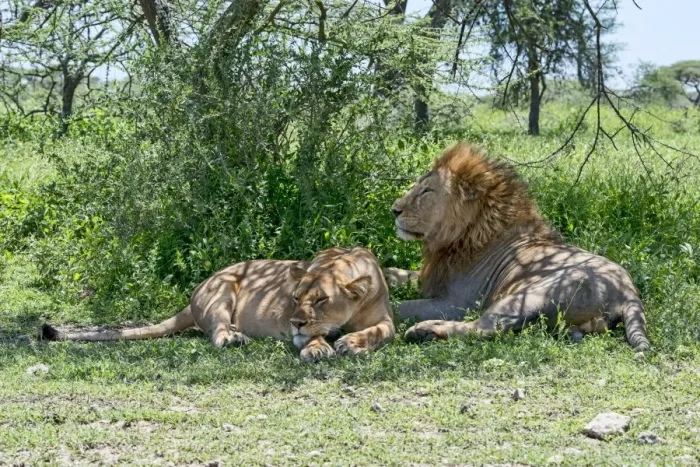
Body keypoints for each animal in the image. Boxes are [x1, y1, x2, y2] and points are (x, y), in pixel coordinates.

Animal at [40, 247, 395, 362]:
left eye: (321, 299)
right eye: (295, 298)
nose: (294, 322)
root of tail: (194, 295)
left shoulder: (386, 320)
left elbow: (381, 332)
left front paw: (352, 342)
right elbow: (314, 336)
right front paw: (318, 348)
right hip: (223, 288)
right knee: (216, 332)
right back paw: (233, 336)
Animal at [389, 143, 650, 352]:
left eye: (426, 191)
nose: (394, 210)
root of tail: (628, 293)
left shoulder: (456, 302)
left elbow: (399, 307)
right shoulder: (433, 278)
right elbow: (395, 273)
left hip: (530, 295)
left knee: (487, 326)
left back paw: (425, 331)